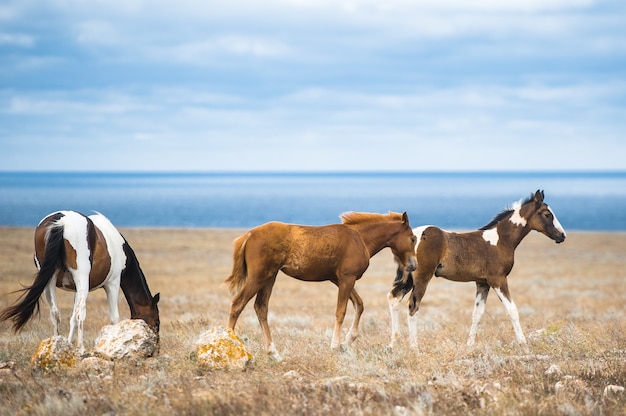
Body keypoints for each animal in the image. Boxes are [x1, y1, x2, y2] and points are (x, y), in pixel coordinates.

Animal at [1, 211, 161, 352]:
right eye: (156, 322)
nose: (156, 350)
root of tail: (60, 221)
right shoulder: (113, 284)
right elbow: (114, 318)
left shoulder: (76, 290)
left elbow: (72, 318)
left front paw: (68, 344)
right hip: (82, 277)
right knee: (80, 311)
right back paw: (81, 347)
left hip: (49, 280)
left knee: (55, 312)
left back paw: (54, 345)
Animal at [224, 211, 414, 358]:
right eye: (412, 238)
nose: (413, 266)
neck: (359, 238)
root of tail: (249, 235)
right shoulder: (347, 278)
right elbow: (341, 311)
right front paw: (335, 345)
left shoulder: (338, 279)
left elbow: (359, 304)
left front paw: (348, 340)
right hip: (259, 277)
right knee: (238, 303)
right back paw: (229, 345)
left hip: (270, 277)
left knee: (261, 307)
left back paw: (273, 352)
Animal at [386, 190, 564, 350]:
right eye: (547, 214)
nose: (562, 236)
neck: (501, 240)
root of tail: (412, 236)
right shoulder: (498, 280)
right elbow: (512, 310)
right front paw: (523, 344)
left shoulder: (482, 283)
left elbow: (477, 314)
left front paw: (469, 345)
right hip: (422, 277)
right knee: (412, 306)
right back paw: (414, 347)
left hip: (409, 278)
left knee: (394, 298)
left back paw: (392, 345)